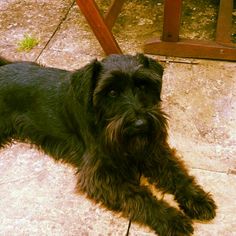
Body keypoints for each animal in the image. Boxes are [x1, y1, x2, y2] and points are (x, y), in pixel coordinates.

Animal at [0, 54, 217, 236]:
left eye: (142, 86)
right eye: (112, 92)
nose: (141, 124)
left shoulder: (153, 150)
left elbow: (176, 173)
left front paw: (197, 199)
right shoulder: (99, 175)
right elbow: (139, 196)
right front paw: (170, 219)